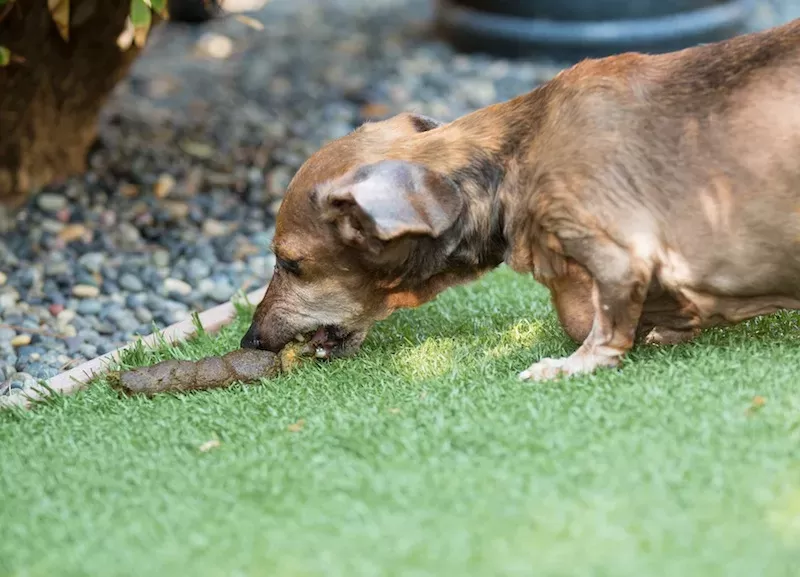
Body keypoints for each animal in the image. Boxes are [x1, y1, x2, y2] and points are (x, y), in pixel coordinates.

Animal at [241, 18, 800, 380]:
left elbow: (597, 327)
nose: (250, 340)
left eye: (290, 264)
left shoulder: (618, 255)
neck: (516, 155)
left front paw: (570, 365)